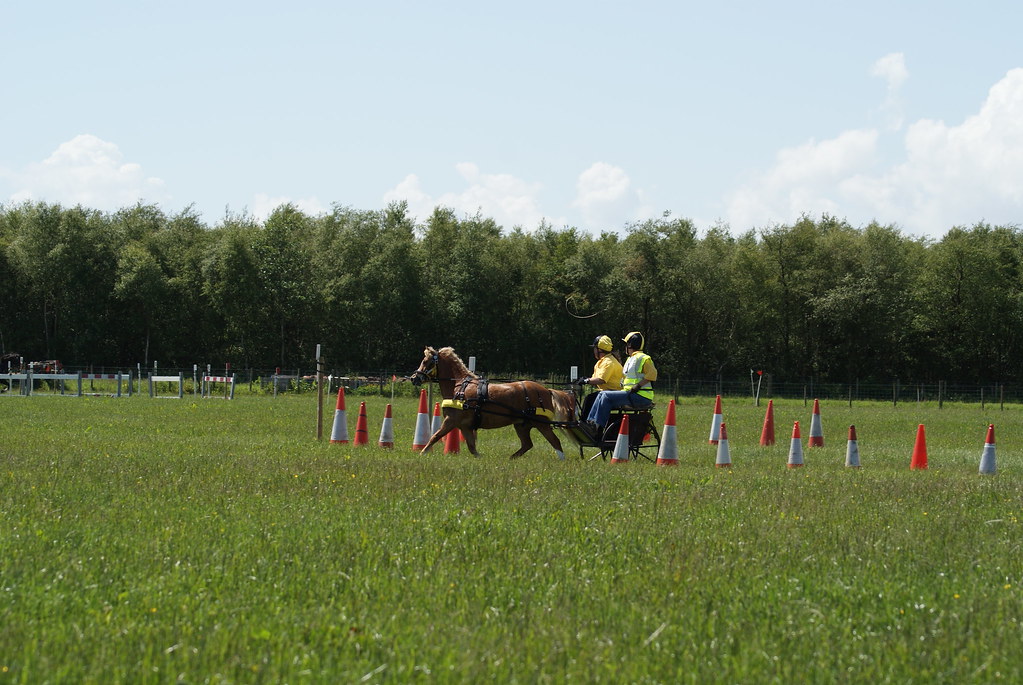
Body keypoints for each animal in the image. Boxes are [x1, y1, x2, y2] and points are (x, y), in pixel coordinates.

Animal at [409, 346, 577, 459]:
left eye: (425, 361)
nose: (413, 378)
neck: (459, 385)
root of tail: (546, 390)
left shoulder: (451, 420)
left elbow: (435, 437)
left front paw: (422, 453)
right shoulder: (465, 426)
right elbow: (472, 447)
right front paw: (481, 458)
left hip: (541, 423)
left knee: (555, 442)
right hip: (522, 425)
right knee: (527, 444)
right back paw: (510, 459)